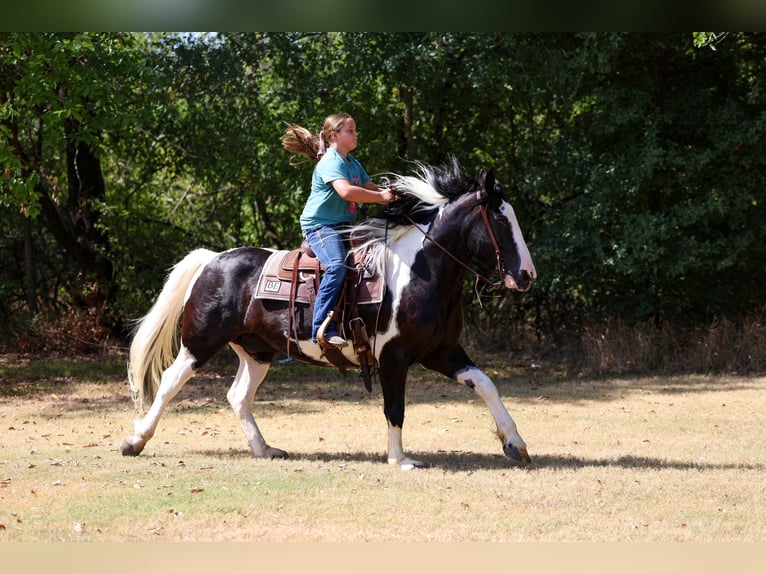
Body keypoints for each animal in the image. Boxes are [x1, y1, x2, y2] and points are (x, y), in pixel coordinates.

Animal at [120, 158, 537, 469]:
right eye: (500, 220)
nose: (526, 275)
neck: (420, 272)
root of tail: (213, 260)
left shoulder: (442, 352)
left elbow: (485, 384)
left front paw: (515, 443)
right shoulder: (393, 357)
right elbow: (395, 408)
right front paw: (399, 459)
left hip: (257, 351)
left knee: (238, 396)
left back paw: (265, 449)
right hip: (199, 343)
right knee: (170, 383)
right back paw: (135, 440)